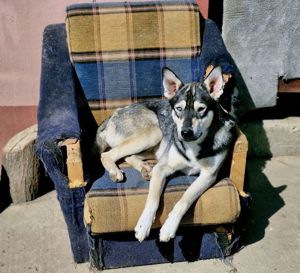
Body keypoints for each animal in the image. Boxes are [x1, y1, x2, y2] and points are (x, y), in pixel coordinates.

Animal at [96, 66, 237, 242]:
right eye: (179, 109)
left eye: (201, 109)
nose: (185, 133)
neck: (194, 145)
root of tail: (112, 116)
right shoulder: (162, 168)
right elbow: (152, 200)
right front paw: (143, 226)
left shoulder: (208, 175)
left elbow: (184, 200)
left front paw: (169, 227)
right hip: (153, 133)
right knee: (108, 155)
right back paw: (116, 171)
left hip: (155, 143)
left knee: (127, 156)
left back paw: (144, 169)